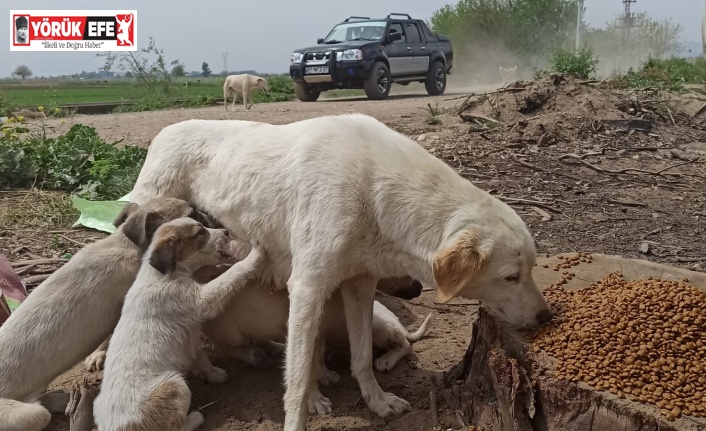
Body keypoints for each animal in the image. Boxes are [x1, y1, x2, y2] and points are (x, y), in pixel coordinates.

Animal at [93, 218, 264, 431]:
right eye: (200, 232)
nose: (225, 232)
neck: (162, 275)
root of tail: (117, 427)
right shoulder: (202, 300)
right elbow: (233, 274)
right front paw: (255, 253)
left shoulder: (189, 338)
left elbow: (202, 359)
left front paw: (214, 376)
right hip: (175, 385)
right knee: (175, 427)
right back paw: (196, 417)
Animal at [129, 113, 552, 430]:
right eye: (511, 277)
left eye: (531, 270)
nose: (546, 317)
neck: (374, 189)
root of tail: (165, 130)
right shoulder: (307, 288)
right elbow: (297, 380)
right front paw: (302, 412)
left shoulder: (359, 286)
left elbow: (361, 357)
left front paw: (377, 402)